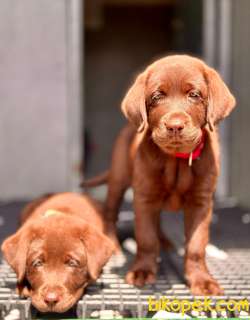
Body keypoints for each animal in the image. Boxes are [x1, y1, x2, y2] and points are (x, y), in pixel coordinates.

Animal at [83, 54, 236, 296]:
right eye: (156, 97)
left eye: (194, 95)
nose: (174, 126)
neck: (176, 160)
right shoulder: (144, 198)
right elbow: (146, 238)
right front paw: (142, 272)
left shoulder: (201, 203)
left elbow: (196, 245)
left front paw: (202, 280)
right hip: (118, 179)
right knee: (111, 213)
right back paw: (115, 245)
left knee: (158, 222)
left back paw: (164, 242)